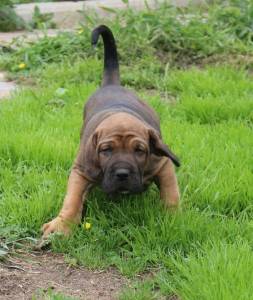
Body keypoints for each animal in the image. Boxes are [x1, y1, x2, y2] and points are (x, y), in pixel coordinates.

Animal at [42, 24, 180, 237]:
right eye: (106, 150)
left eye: (139, 150)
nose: (122, 174)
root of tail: (112, 85)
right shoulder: (81, 169)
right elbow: (72, 199)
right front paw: (61, 225)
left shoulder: (162, 164)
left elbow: (171, 193)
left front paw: (173, 219)